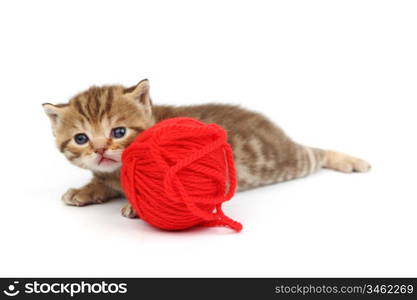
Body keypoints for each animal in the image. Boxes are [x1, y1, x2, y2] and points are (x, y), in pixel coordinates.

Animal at [43, 78, 370, 217]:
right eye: (81, 138)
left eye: (119, 131)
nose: (99, 150)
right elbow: (103, 182)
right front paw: (84, 191)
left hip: (287, 160)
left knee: (316, 153)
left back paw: (351, 161)